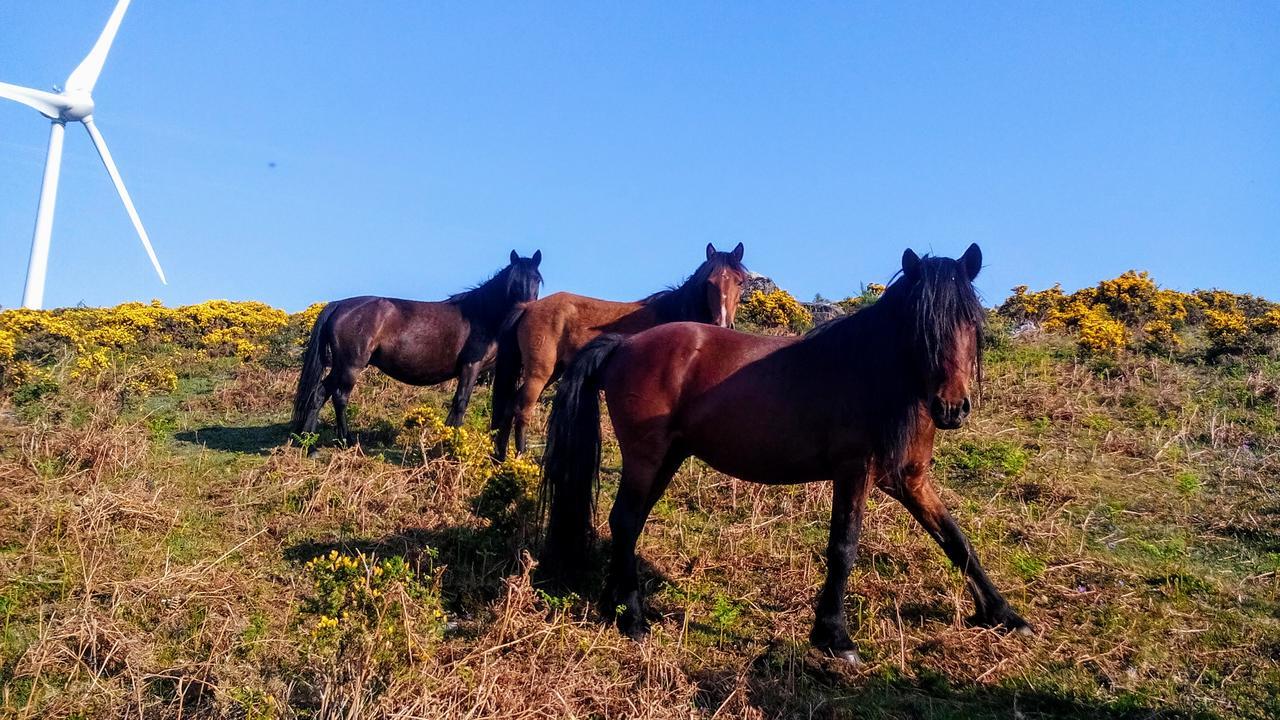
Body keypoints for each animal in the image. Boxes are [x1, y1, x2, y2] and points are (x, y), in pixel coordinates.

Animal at [488, 239, 747, 453]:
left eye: (740, 282)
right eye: (710, 282)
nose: (723, 322)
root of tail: (528, 307)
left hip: (554, 371)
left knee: (510, 407)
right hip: (538, 373)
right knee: (522, 410)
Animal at [537, 244, 1029, 661]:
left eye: (970, 323)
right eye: (920, 327)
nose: (951, 408)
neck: (874, 376)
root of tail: (625, 343)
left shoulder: (909, 480)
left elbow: (956, 540)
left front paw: (1004, 615)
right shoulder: (854, 473)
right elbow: (843, 548)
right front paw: (834, 636)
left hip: (668, 458)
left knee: (630, 522)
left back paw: (614, 605)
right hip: (646, 457)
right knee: (624, 519)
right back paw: (634, 620)